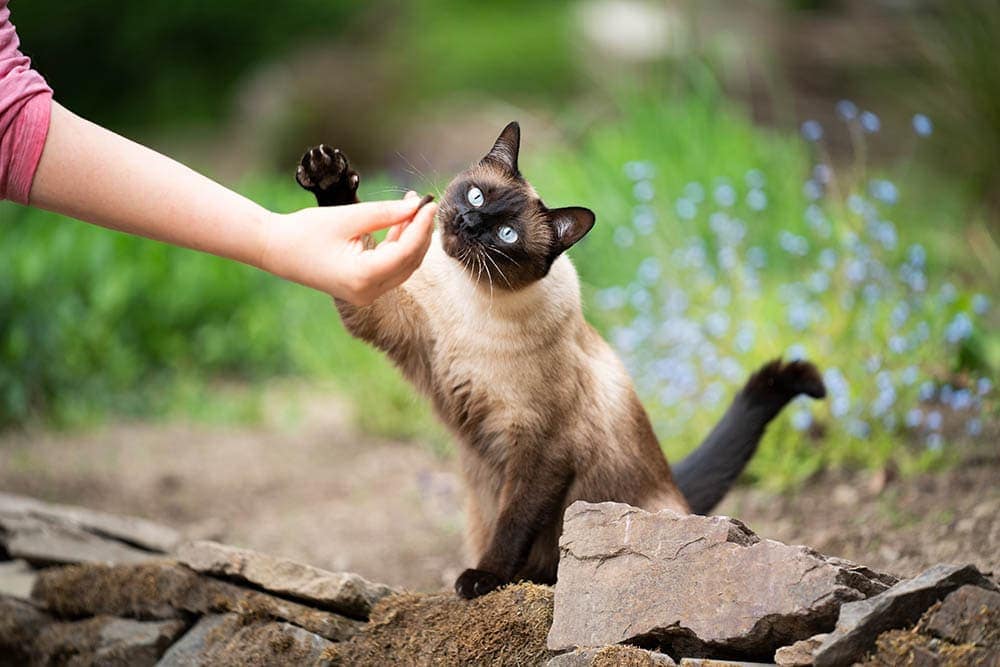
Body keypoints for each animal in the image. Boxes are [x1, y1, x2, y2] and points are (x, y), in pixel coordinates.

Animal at [296, 121, 828, 600]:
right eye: (476, 197)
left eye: (506, 234)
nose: (469, 224)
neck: (470, 298)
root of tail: (677, 490)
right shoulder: (388, 319)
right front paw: (328, 176)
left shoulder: (541, 446)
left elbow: (513, 524)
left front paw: (483, 580)